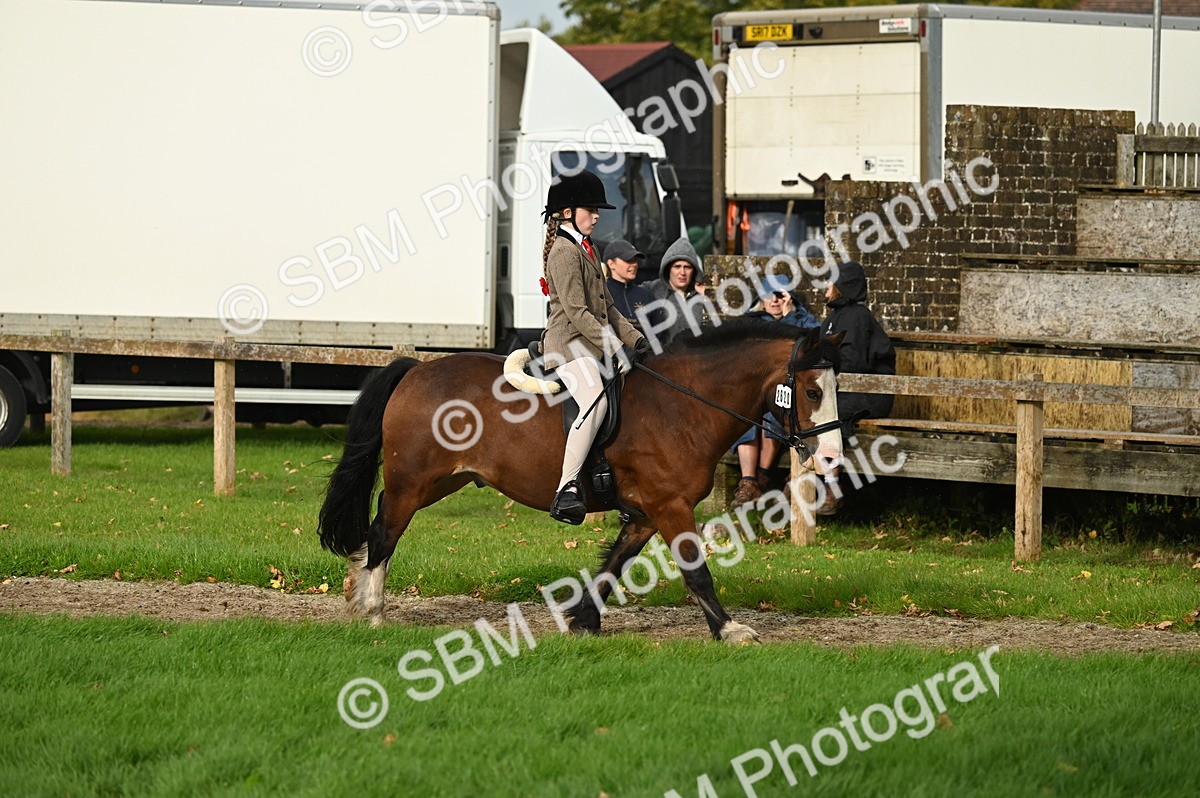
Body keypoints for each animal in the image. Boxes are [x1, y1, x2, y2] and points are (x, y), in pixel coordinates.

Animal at [317, 322, 843, 643]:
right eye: (812, 391)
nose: (831, 457)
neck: (683, 405)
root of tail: (417, 369)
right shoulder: (671, 505)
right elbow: (696, 570)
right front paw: (730, 630)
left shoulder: (646, 512)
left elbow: (613, 565)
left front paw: (582, 621)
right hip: (414, 484)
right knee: (384, 531)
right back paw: (372, 610)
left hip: (443, 481)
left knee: (380, 526)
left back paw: (356, 594)